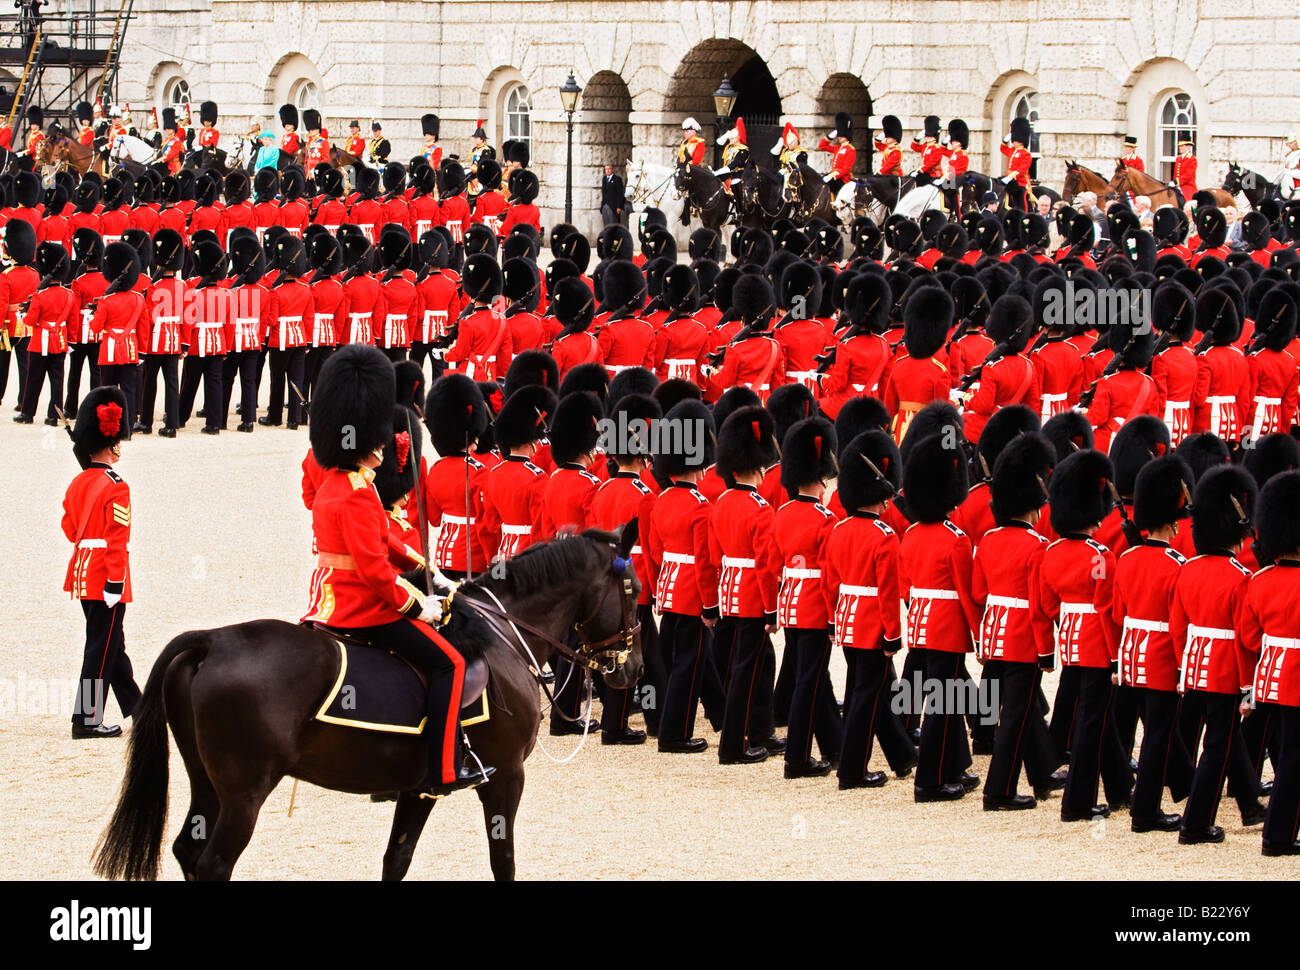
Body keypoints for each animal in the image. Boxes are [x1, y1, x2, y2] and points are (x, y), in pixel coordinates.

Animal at [92, 525, 644, 878]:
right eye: (634, 590)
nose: (634, 669)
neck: (504, 634)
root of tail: (211, 641)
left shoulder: (422, 787)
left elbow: (396, 860)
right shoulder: (506, 776)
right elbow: (502, 861)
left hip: (208, 784)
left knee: (188, 851)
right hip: (244, 794)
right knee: (213, 864)